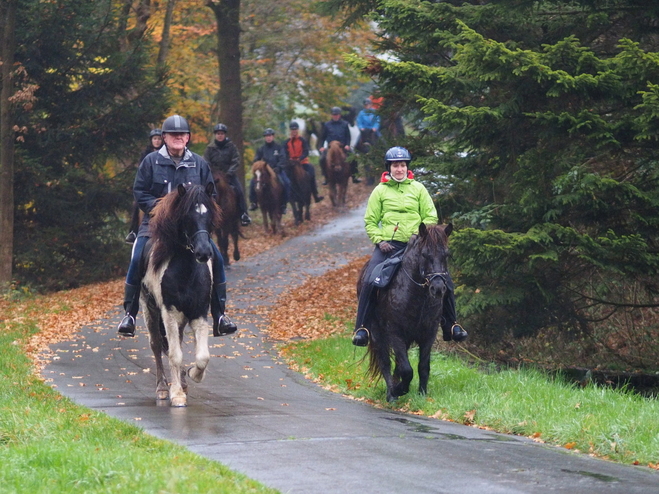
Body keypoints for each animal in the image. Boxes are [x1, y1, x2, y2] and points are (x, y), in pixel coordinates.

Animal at [139, 183, 222, 408]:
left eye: (209, 216)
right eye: (187, 217)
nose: (204, 253)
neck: (186, 272)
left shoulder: (199, 314)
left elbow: (203, 356)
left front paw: (192, 374)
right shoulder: (168, 313)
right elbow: (174, 355)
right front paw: (176, 394)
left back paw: (183, 382)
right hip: (149, 309)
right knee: (156, 345)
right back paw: (162, 388)